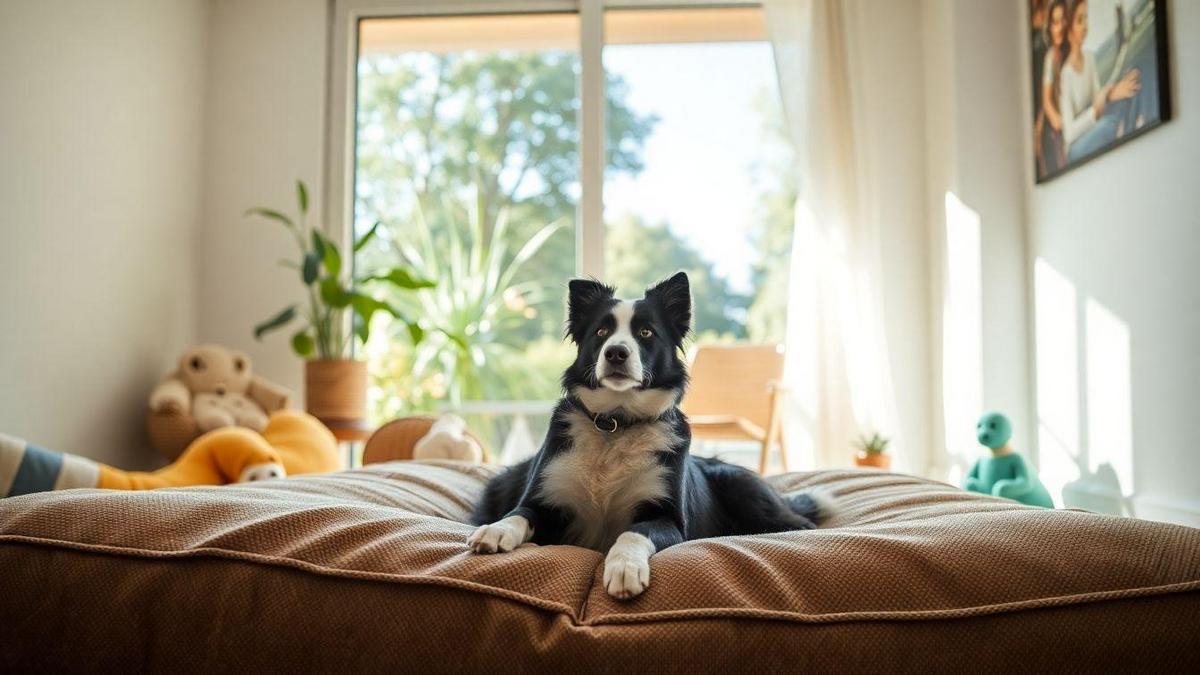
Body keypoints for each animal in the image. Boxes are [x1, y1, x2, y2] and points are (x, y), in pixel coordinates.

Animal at [463, 270, 830, 595]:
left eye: (646, 332)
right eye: (601, 331)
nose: (616, 353)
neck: (616, 423)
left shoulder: (667, 519)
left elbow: (634, 532)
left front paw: (624, 567)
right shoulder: (543, 499)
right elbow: (519, 513)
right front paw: (496, 531)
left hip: (743, 487)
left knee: (802, 524)